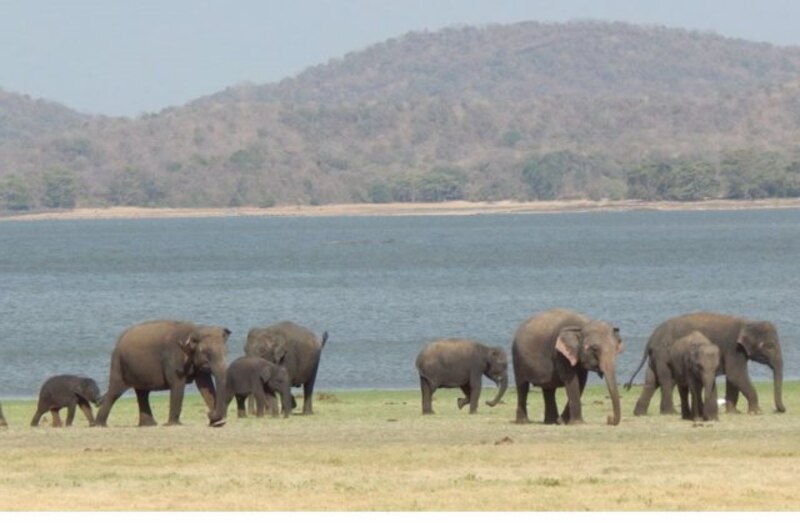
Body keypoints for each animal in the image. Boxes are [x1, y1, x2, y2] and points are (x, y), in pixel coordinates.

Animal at [95, 322, 231, 428]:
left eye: (226, 352)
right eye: (206, 353)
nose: (209, 414)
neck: (195, 329)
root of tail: (118, 342)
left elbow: (205, 386)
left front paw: (217, 423)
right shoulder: (173, 359)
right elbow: (178, 384)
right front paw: (173, 424)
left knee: (142, 393)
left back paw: (149, 425)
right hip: (118, 365)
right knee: (115, 392)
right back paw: (100, 425)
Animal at [624, 312, 788, 418]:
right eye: (769, 346)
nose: (781, 410)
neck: (748, 322)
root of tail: (651, 339)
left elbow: (732, 379)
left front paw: (733, 412)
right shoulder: (733, 349)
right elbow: (736, 375)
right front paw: (756, 412)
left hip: (655, 358)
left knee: (651, 382)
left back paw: (640, 413)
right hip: (664, 356)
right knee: (667, 381)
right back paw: (670, 413)